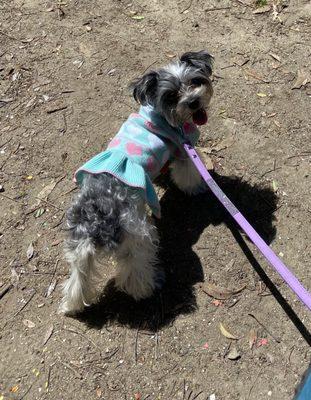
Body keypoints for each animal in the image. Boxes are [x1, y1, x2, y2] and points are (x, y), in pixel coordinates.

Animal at [59, 50, 213, 314]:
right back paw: (148, 287)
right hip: (139, 235)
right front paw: (196, 187)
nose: (193, 102)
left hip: (79, 247)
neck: (160, 115)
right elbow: (188, 174)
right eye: (171, 95)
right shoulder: (184, 149)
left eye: (195, 81)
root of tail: (96, 218)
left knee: (78, 277)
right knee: (135, 269)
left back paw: (73, 304)